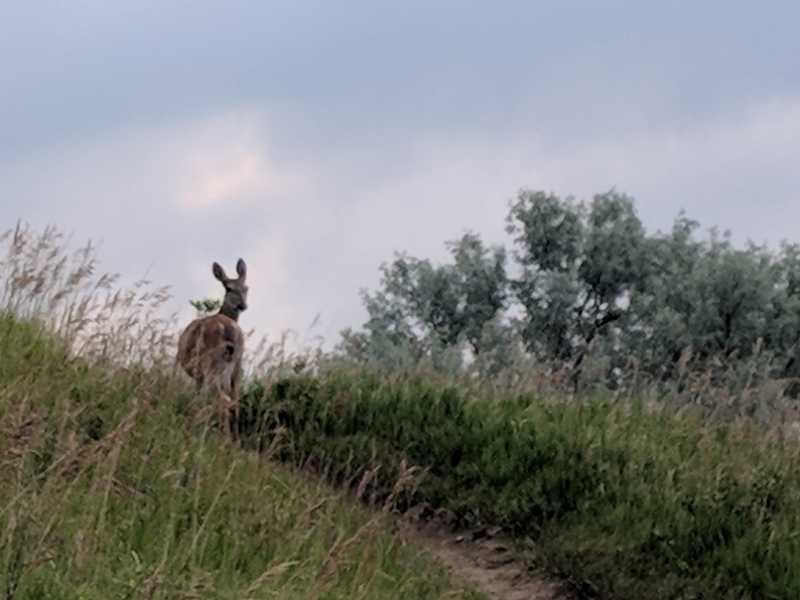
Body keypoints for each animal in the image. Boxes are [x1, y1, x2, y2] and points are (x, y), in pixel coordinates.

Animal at [177, 258, 248, 437]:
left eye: (245, 288)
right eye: (229, 288)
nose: (243, 305)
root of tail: (229, 330)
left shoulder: (197, 374)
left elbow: (197, 398)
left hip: (211, 364)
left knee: (223, 400)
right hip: (237, 364)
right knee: (235, 400)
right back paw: (233, 438)